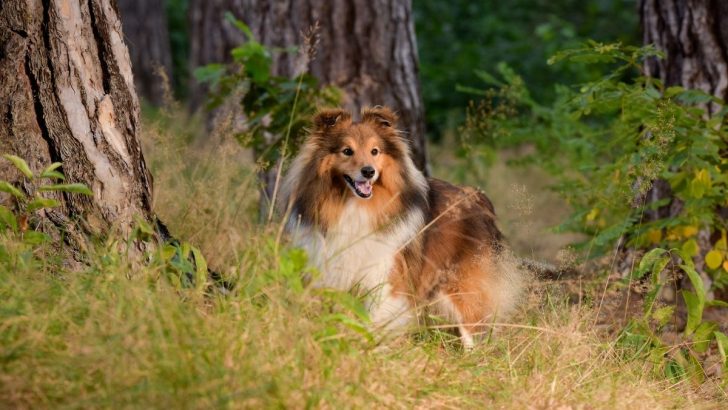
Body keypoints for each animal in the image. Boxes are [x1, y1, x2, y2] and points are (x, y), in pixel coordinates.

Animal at [278, 106, 524, 350]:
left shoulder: (386, 276)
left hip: (462, 288)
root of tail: (477, 198)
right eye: (347, 151)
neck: (355, 205)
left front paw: (371, 346)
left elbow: (374, 319)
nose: (368, 172)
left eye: (375, 151)